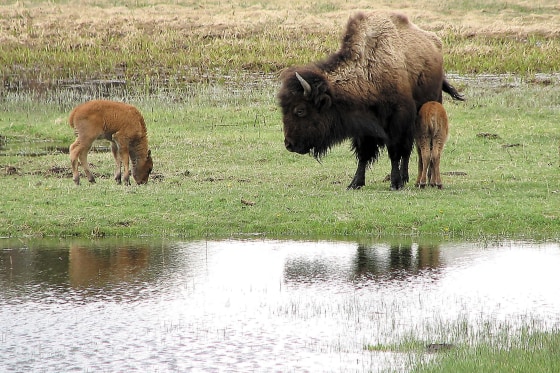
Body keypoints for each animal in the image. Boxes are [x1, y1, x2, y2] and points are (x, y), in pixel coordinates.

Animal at [276, 10, 464, 190]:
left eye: (300, 110)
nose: (289, 144)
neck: (369, 71)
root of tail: (435, 43)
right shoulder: (363, 128)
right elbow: (363, 155)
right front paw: (355, 183)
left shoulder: (397, 121)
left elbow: (394, 152)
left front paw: (394, 183)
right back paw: (406, 178)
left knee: (413, 149)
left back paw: (414, 179)